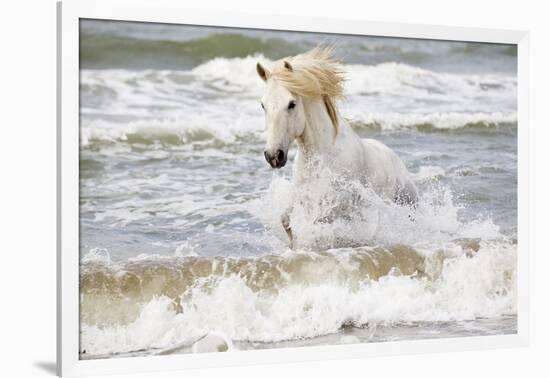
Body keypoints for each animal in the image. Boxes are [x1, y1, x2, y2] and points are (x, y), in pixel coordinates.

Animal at [258, 47, 418, 247]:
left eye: (291, 104)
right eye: (263, 105)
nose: (273, 155)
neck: (324, 156)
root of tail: (392, 156)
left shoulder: (339, 205)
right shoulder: (303, 196)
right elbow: (286, 220)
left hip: (408, 201)